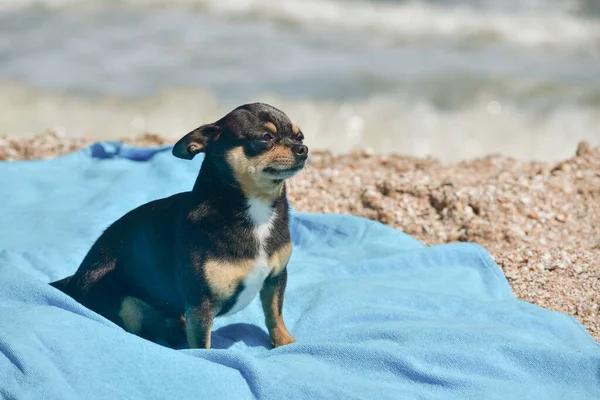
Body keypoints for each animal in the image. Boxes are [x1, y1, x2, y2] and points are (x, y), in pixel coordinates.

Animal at [49, 104, 308, 350]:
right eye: (265, 137)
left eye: (300, 136)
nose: (304, 149)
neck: (256, 209)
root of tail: (73, 282)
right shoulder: (200, 304)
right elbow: (203, 345)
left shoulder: (276, 278)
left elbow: (274, 314)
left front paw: (285, 342)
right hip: (124, 302)